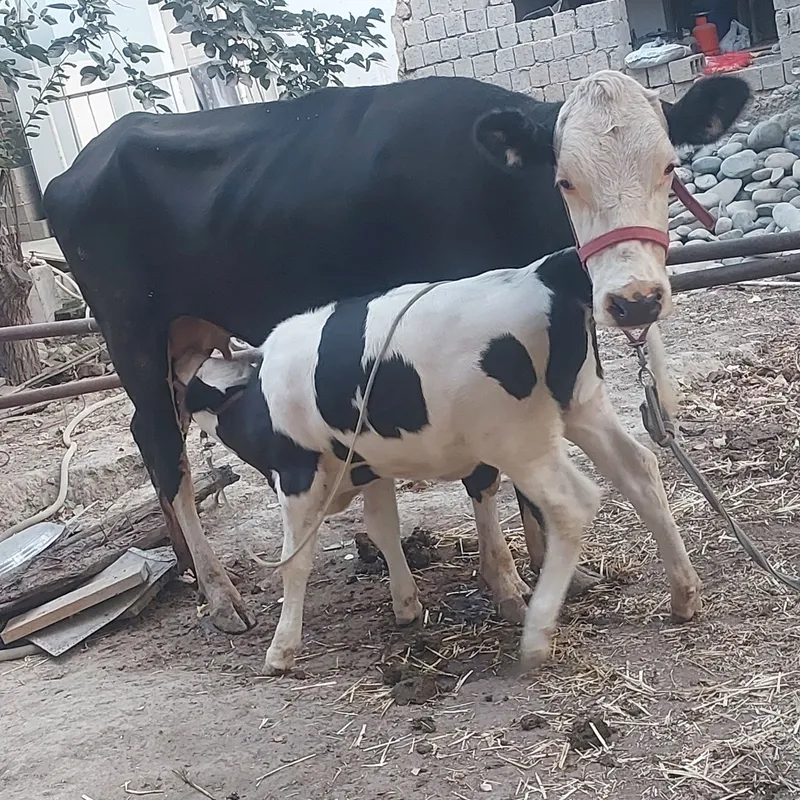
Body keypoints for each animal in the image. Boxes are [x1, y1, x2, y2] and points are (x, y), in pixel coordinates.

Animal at [175, 246, 697, 672]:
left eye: (194, 391)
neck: (260, 396)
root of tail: (541, 273)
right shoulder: (370, 466)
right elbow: (383, 528)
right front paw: (406, 605)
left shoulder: (297, 474)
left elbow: (294, 560)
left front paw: (282, 649)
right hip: (583, 406)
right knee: (640, 469)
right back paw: (684, 594)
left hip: (517, 437)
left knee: (574, 503)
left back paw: (536, 637)